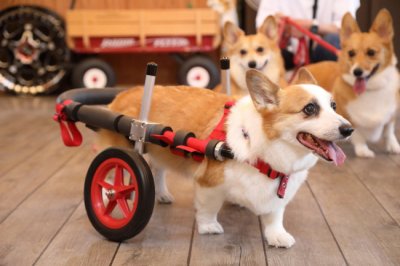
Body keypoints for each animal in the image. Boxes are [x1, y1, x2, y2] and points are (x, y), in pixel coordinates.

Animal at [97, 68, 354, 247]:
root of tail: (123, 94)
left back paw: (161, 194)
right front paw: (209, 227)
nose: (349, 129)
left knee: (158, 169)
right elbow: (208, 207)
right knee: (114, 172)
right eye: (310, 109)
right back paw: (108, 194)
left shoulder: (278, 196)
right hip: (122, 148)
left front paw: (277, 236)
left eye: (333, 106)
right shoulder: (208, 184)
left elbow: (274, 216)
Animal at [304, 9, 398, 157]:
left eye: (371, 52)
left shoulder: (392, 114)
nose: (357, 72)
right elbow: (358, 134)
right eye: (351, 53)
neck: (370, 89)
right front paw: (363, 150)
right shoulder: (349, 117)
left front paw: (394, 146)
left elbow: (389, 130)